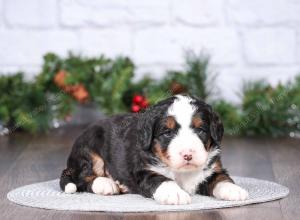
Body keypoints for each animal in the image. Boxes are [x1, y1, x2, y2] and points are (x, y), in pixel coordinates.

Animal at [59, 94, 248, 205]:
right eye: (167, 132)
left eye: (200, 130)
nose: (187, 155)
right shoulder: (143, 169)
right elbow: (160, 179)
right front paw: (175, 193)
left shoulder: (211, 168)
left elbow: (220, 178)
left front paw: (233, 190)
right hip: (89, 148)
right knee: (82, 177)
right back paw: (107, 184)